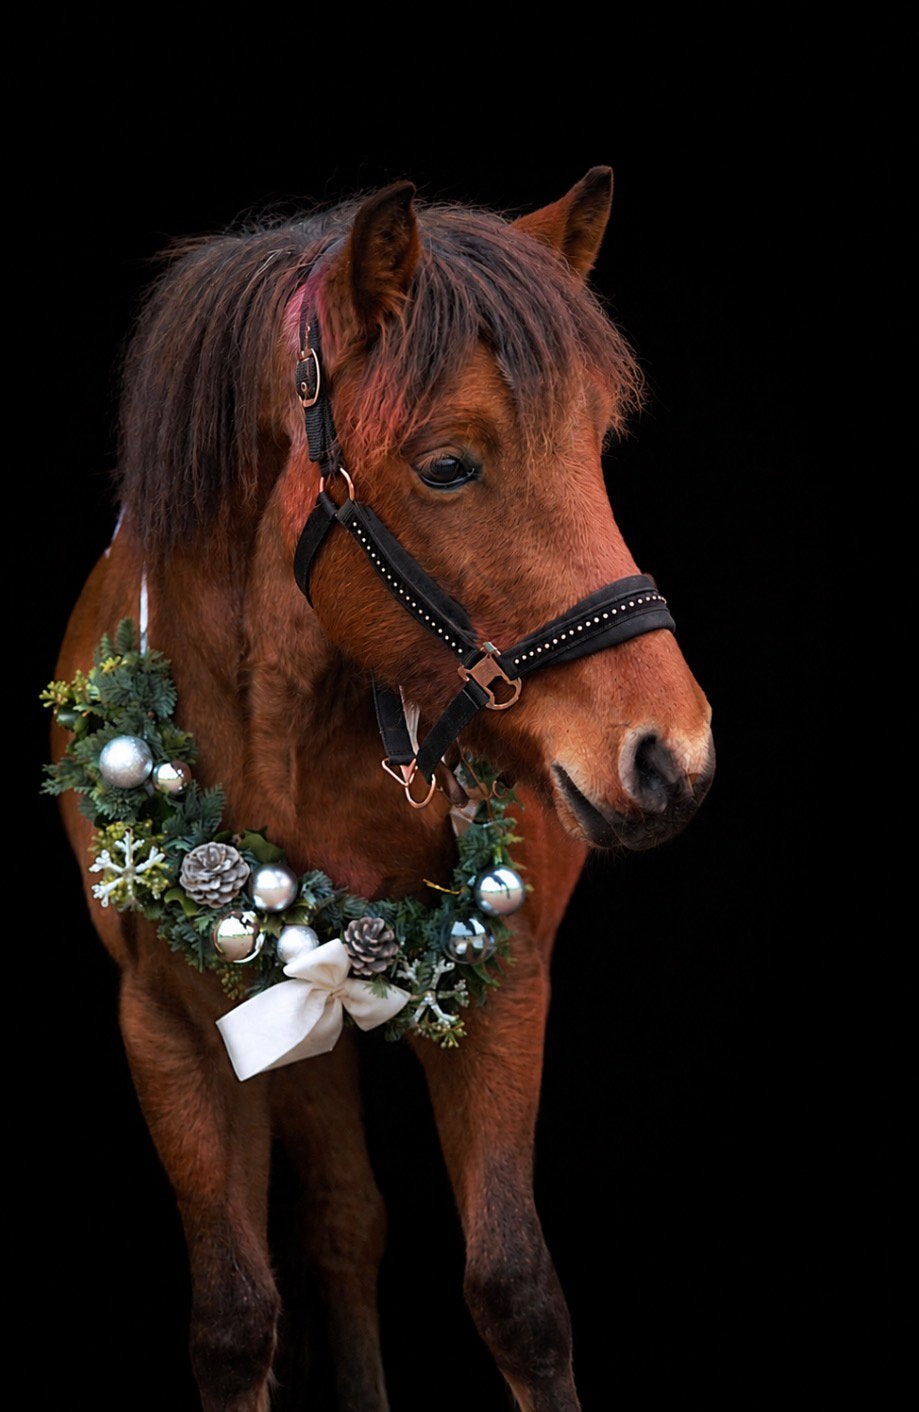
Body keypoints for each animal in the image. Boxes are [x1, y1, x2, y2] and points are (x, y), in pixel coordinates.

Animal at [50, 168, 714, 1410]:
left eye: (596, 443)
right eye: (448, 464)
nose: (673, 756)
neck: (289, 725)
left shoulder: (506, 980)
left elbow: (516, 1292)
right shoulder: (164, 1019)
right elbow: (234, 1319)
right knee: (341, 1222)